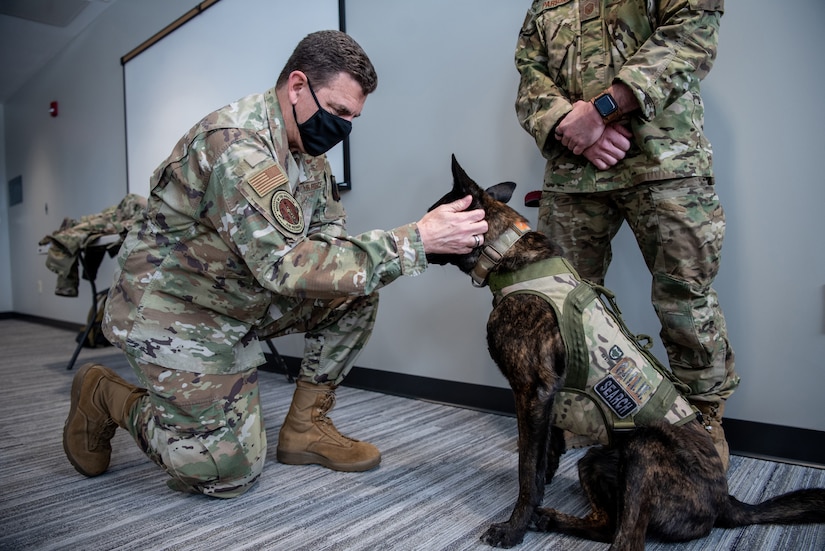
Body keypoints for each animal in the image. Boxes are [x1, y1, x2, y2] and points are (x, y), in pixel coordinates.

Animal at [428, 156, 820, 551]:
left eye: (436, 212)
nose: (420, 230)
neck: (507, 254)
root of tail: (727, 501)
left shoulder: (532, 392)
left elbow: (527, 469)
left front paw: (513, 527)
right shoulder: (547, 400)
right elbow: (543, 460)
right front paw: (536, 502)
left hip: (642, 451)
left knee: (627, 538)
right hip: (596, 459)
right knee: (606, 524)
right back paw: (550, 518)